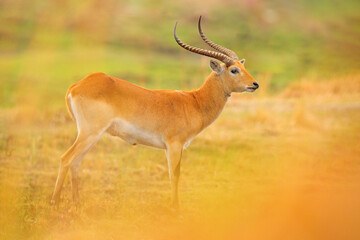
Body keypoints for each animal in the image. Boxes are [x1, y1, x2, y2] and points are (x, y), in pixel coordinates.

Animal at [50, 17, 258, 208]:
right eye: (234, 70)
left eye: (243, 66)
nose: (254, 84)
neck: (195, 102)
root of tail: (78, 85)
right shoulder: (174, 145)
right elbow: (175, 174)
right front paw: (175, 208)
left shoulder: (169, 148)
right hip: (90, 132)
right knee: (66, 159)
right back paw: (55, 203)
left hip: (91, 135)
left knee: (76, 162)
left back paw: (77, 204)